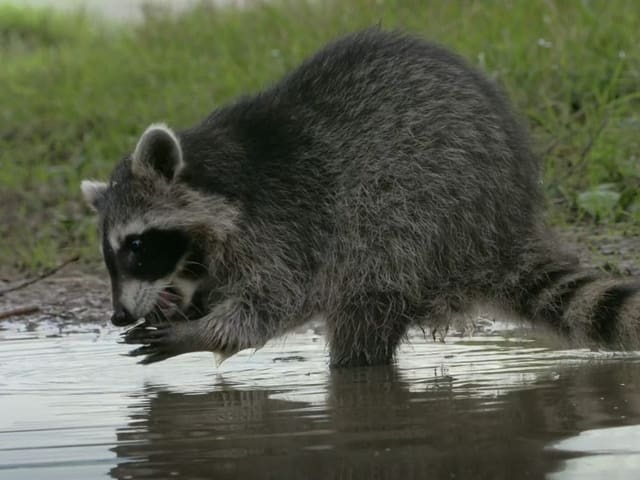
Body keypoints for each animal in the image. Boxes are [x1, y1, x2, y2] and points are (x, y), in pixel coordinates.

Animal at [80, 29, 640, 368]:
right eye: (110, 253)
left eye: (137, 246)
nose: (119, 316)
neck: (223, 168)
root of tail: (505, 226)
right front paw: (183, 304)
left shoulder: (287, 220)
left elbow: (275, 298)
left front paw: (203, 331)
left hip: (421, 220)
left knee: (364, 295)